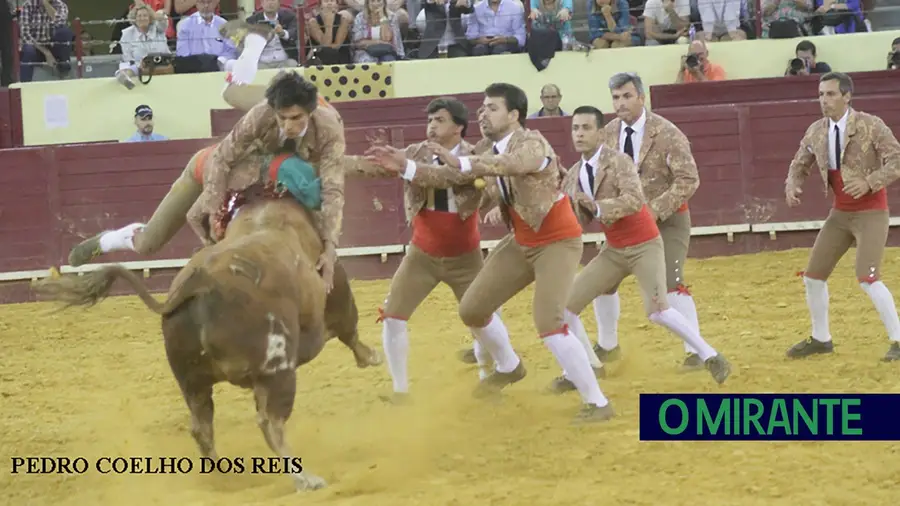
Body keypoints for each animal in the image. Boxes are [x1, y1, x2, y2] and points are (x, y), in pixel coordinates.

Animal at [32, 183, 380, 494]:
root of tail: (201, 282)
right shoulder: (338, 296)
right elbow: (350, 330)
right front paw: (371, 356)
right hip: (277, 370)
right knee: (270, 423)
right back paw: (305, 479)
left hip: (192, 380)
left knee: (202, 426)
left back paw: (224, 477)